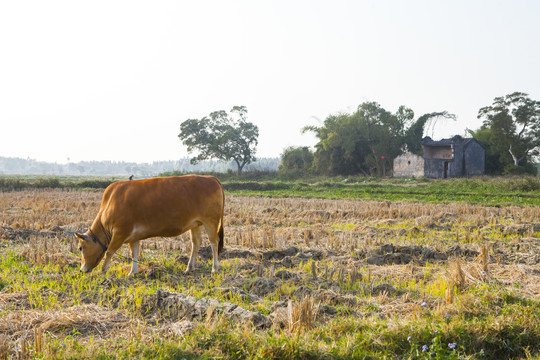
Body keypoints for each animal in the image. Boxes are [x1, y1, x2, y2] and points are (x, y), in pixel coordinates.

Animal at [74, 175, 224, 276]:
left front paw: (103, 271)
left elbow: (110, 251)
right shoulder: (133, 236)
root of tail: (210, 177)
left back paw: (214, 268)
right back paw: (189, 268)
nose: (82, 270)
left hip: (211, 221)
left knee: (214, 242)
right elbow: (134, 252)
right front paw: (132, 272)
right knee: (196, 243)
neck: (109, 204)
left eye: (80, 248)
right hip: (196, 224)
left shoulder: (120, 232)